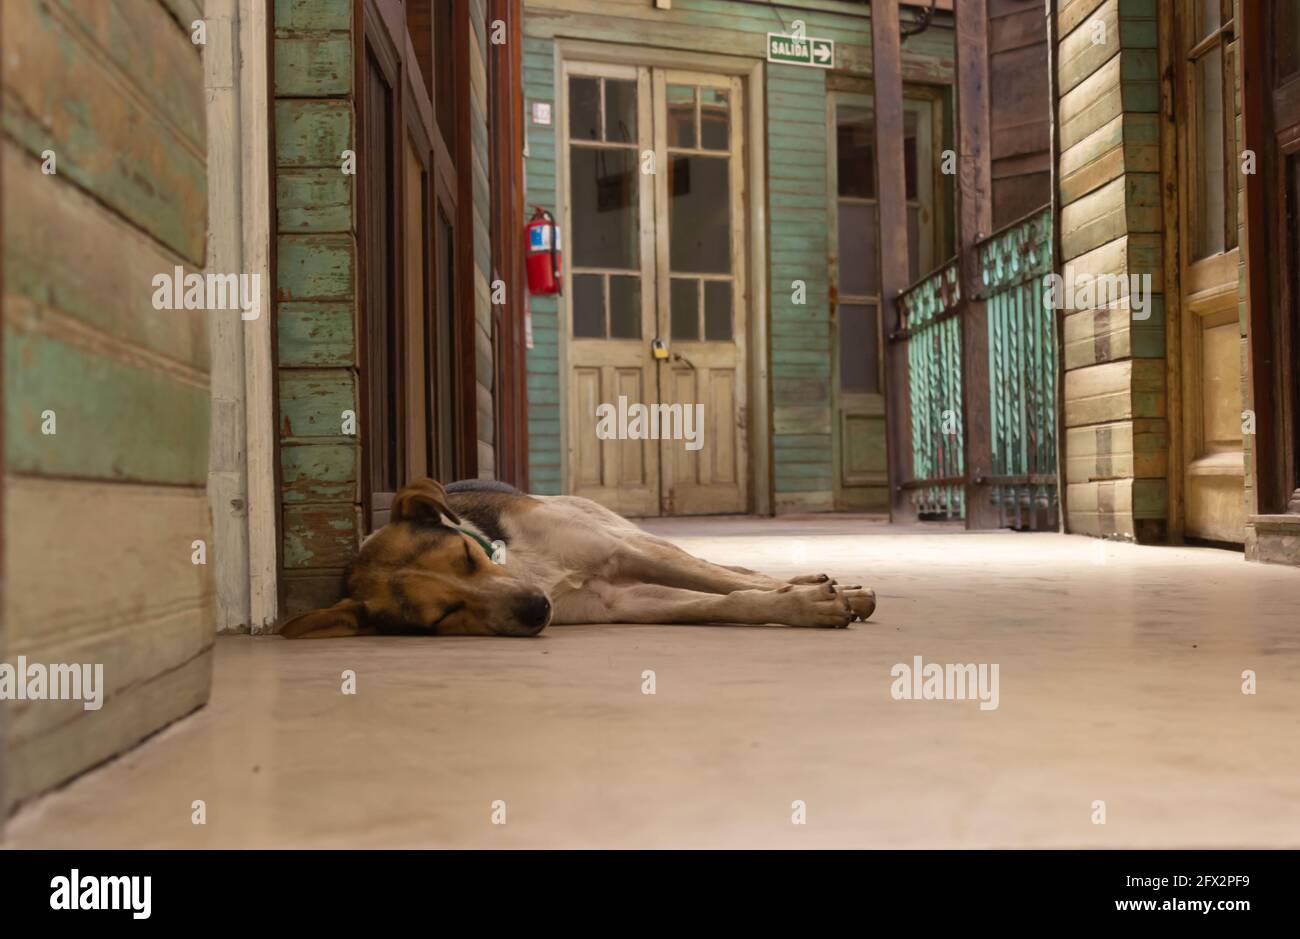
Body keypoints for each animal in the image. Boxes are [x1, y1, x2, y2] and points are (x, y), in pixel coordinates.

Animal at [279, 476, 878, 637]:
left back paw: (839, 586)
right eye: (442, 615)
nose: (537, 609)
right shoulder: (622, 602)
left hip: (626, 533)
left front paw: (813, 599)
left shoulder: (621, 552)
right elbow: (725, 602)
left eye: (468, 558)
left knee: (732, 568)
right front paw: (804, 604)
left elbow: (732, 585)